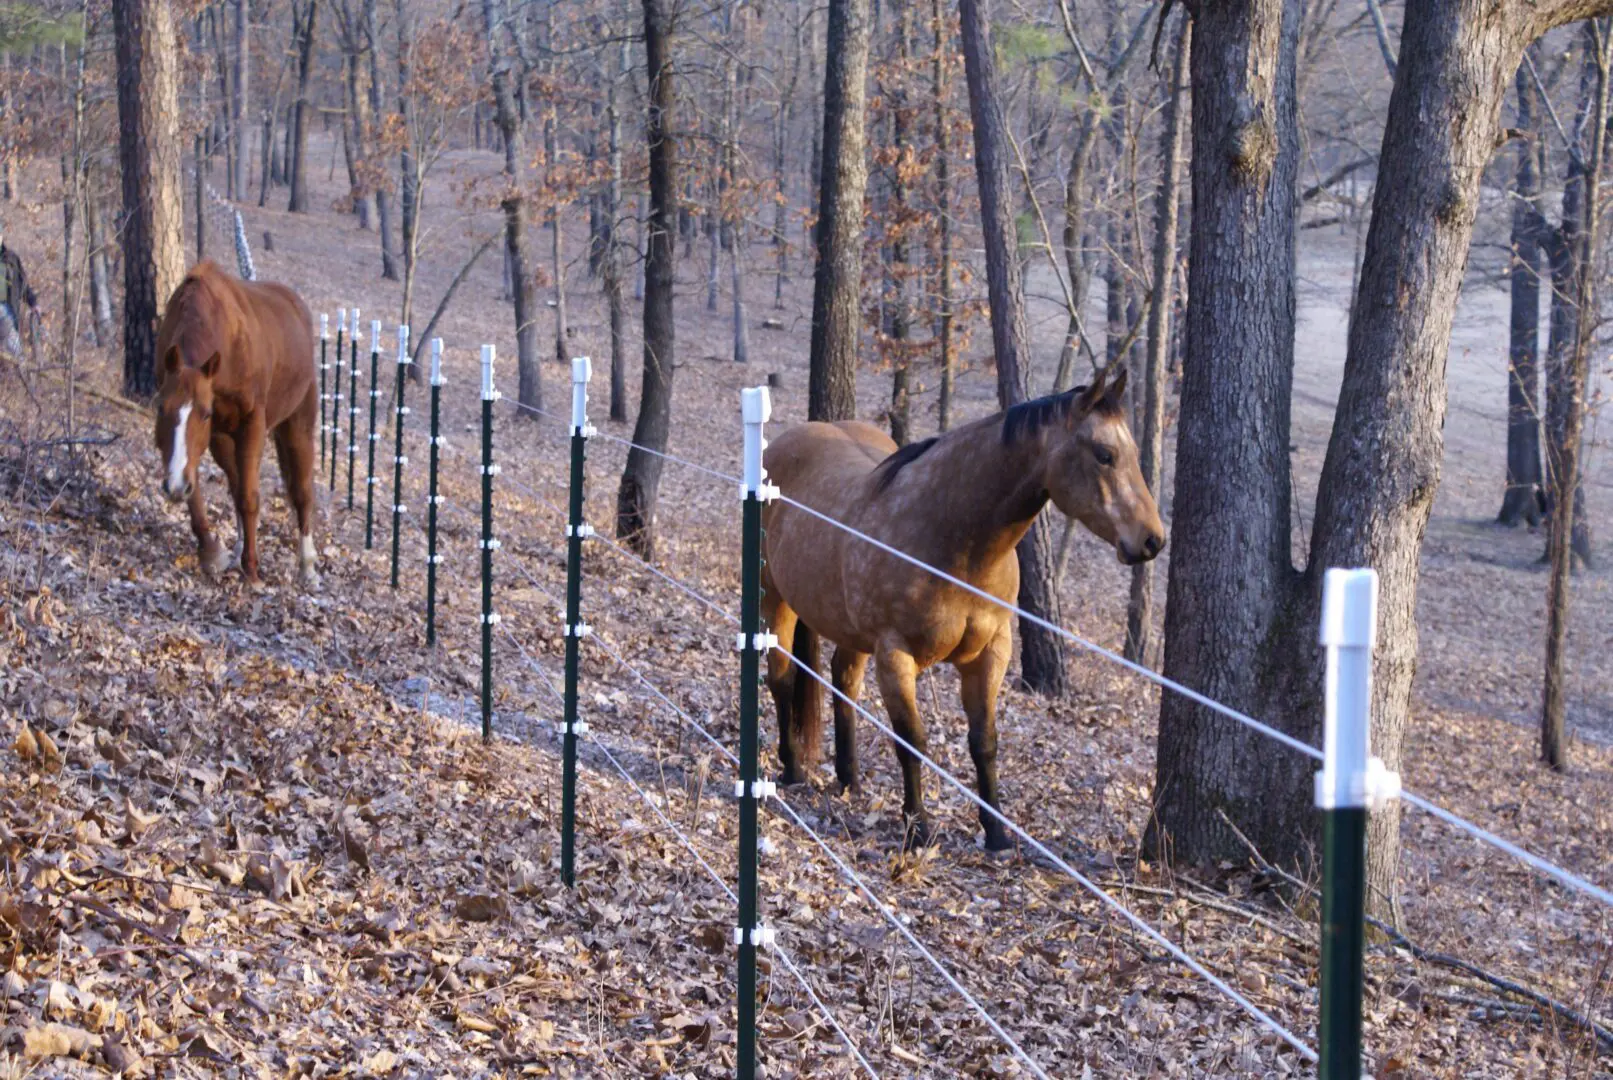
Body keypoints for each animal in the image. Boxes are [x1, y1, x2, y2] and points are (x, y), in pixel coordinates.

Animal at [154, 259, 320, 593]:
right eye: (161, 408)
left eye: (204, 413)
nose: (173, 485)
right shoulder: (213, 436)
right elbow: (203, 488)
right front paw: (211, 553)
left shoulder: (251, 424)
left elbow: (249, 497)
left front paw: (253, 571)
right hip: (226, 440)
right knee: (234, 481)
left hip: (299, 425)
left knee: (302, 491)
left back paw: (307, 565)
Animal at [761, 372, 1167, 857]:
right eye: (1104, 454)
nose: (1153, 540)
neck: (952, 538)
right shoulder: (895, 655)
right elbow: (912, 740)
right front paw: (918, 827)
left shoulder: (990, 653)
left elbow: (984, 742)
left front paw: (997, 834)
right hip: (775, 598)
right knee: (782, 679)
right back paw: (791, 770)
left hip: (846, 628)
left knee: (844, 683)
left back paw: (850, 778)